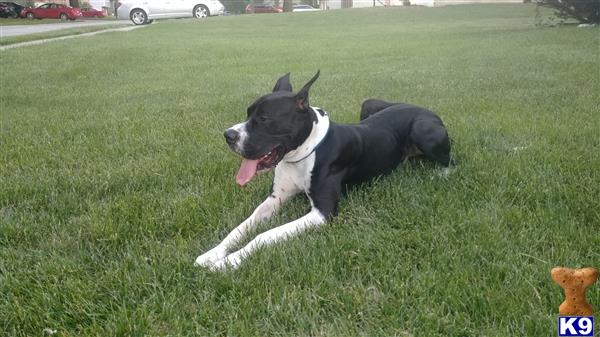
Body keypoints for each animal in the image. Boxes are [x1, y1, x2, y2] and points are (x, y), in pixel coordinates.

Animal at [195, 71, 452, 270]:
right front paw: (212, 254)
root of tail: (424, 108)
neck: (303, 152)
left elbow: (264, 235)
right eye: (248, 113)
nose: (228, 135)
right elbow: (241, 228)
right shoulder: (275, 198)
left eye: (264, 118)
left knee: (452, 159)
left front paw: (229, 262)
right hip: (369, 104)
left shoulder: (322, 212)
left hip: (424, 131)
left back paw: (441, 173)